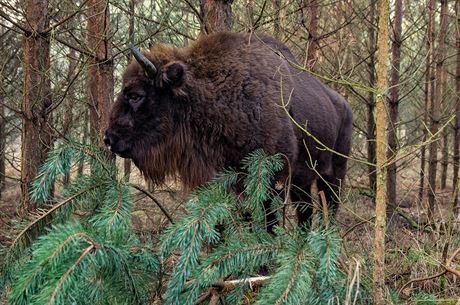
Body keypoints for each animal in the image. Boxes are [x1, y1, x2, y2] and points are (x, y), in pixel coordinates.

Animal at [105, 32, 352, 229]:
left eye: (135, 95)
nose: (108, 138)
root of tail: (344, 105)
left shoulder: (269, 179)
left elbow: (267, 221)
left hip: (334, 173)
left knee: (329, 206)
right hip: (302, 181)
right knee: (305, 212)